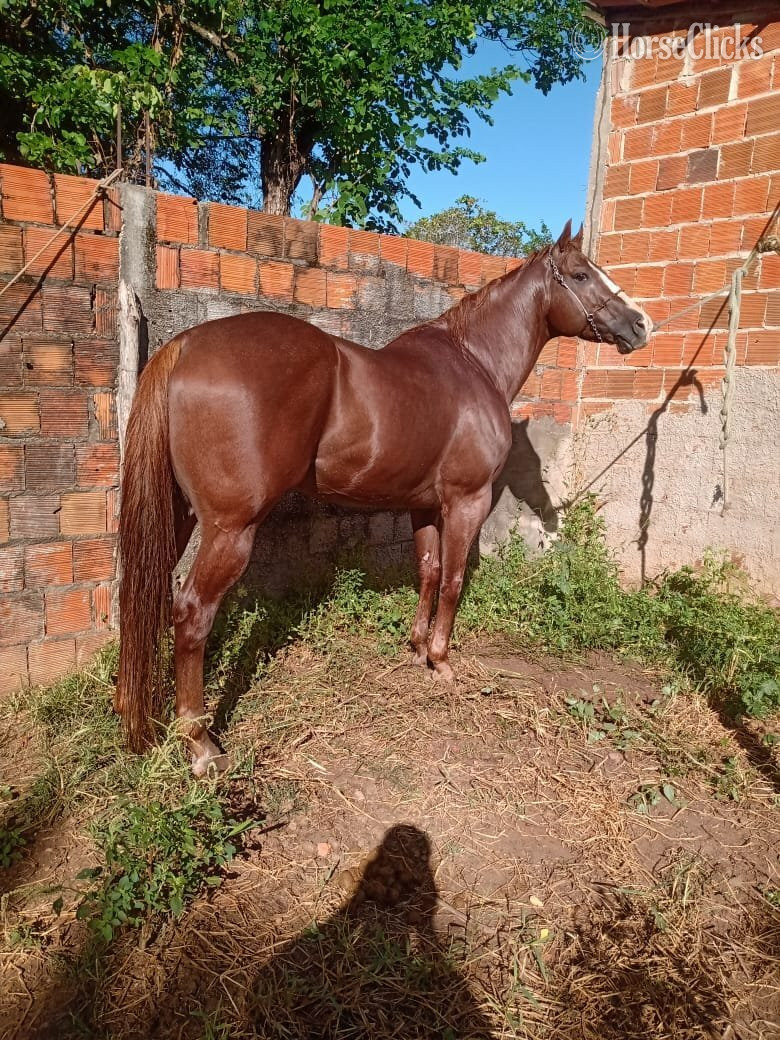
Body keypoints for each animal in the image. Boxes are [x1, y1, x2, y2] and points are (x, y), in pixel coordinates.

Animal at [116, 220, 651, 774]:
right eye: (580, 274)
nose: (641, 325)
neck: (474, 363)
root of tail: (185, 345)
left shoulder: (423, 505)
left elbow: (429, 571)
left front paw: (416, 648)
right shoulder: (467, 501)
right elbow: (454, 579)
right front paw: (441, 661)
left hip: (178, 517)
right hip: (230, 530)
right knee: (192, 612)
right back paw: (200, 743)